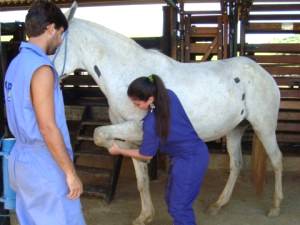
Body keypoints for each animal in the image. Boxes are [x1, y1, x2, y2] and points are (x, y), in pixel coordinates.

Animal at [54, 3, 284, 225]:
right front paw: (145, 216)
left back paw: (275, 207)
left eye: (54, 44)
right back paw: (218, 205)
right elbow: (141, 180)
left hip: (264, 127)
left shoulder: (137, 129)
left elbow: (99, 134)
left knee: (276, 160)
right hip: (235, 129)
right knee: (236, 164)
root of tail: (263, 73)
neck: (129, 75)